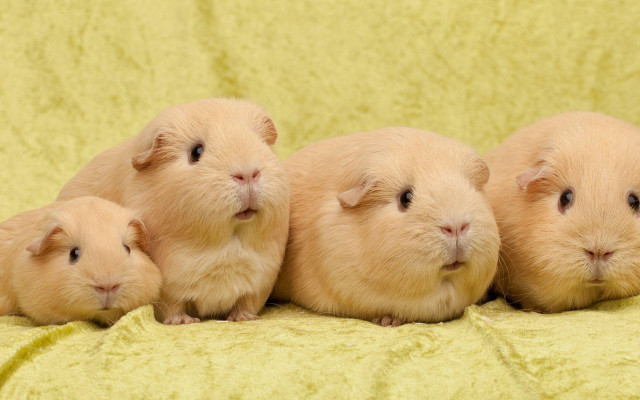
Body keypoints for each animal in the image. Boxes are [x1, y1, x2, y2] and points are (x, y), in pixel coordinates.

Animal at [57, 98, 290, 325]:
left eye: (260, 144)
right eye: (196, 152)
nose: (248, 174)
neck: (228, 244)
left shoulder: (260, 283)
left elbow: (245, 304)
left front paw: (243, 318)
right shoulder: (169, 288)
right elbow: (173, 308)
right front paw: (183, 321)